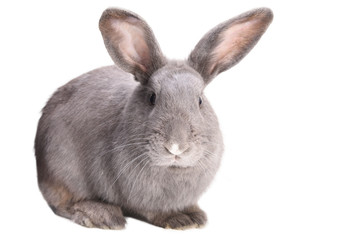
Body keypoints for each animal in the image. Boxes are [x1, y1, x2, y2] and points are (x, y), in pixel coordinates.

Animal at [35, 7, 272, 229]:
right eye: (152, 98)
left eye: (200, 100)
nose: (176, 146)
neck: (173, 170)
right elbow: (151, 212)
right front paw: (179, 221)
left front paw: (195, 216)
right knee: (64, 203)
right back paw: (102, 215)